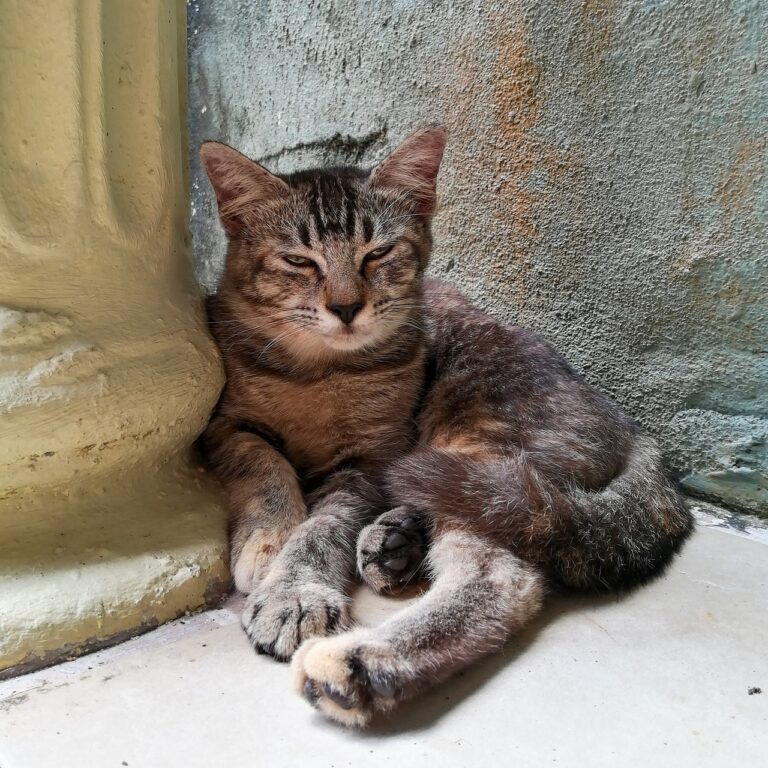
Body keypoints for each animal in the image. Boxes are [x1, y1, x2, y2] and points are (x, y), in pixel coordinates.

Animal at [198, 126, 688, 728]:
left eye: (378, 253)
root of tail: (636, 432)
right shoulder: (223, 424)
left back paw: (360, 665)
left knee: (501, 574)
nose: (345, 307)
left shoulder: (374, 459)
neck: (321, 371)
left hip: (476, 441)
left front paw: (294, 590)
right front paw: (270, 538)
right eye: (298, 260)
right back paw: (396, 543)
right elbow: (263, 462)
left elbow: (324, 526)